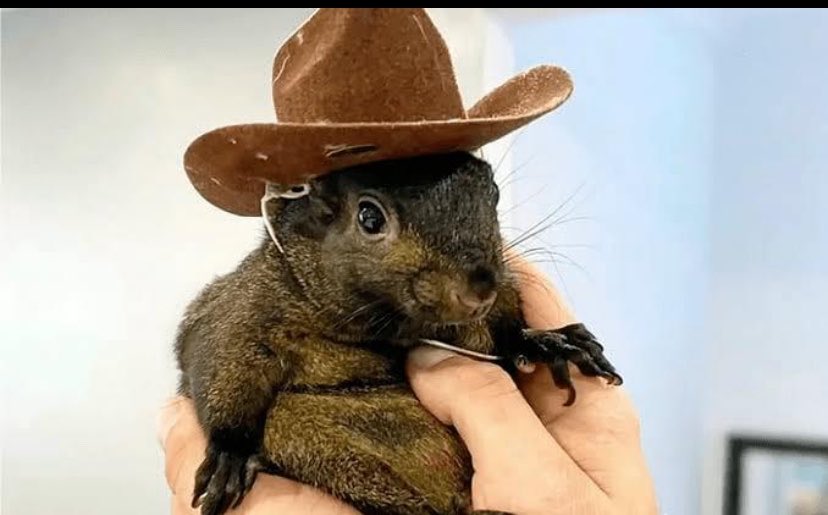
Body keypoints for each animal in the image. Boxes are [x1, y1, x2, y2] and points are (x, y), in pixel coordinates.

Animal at [175, 151, 622, 515]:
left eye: (493, 193)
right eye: (369, 217)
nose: (480, 289)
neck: (387, 328)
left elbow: (506, 334)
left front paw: (547, 342)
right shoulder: (244, 308)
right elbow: (220, 359)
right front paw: (230, 454)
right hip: (298, 429)